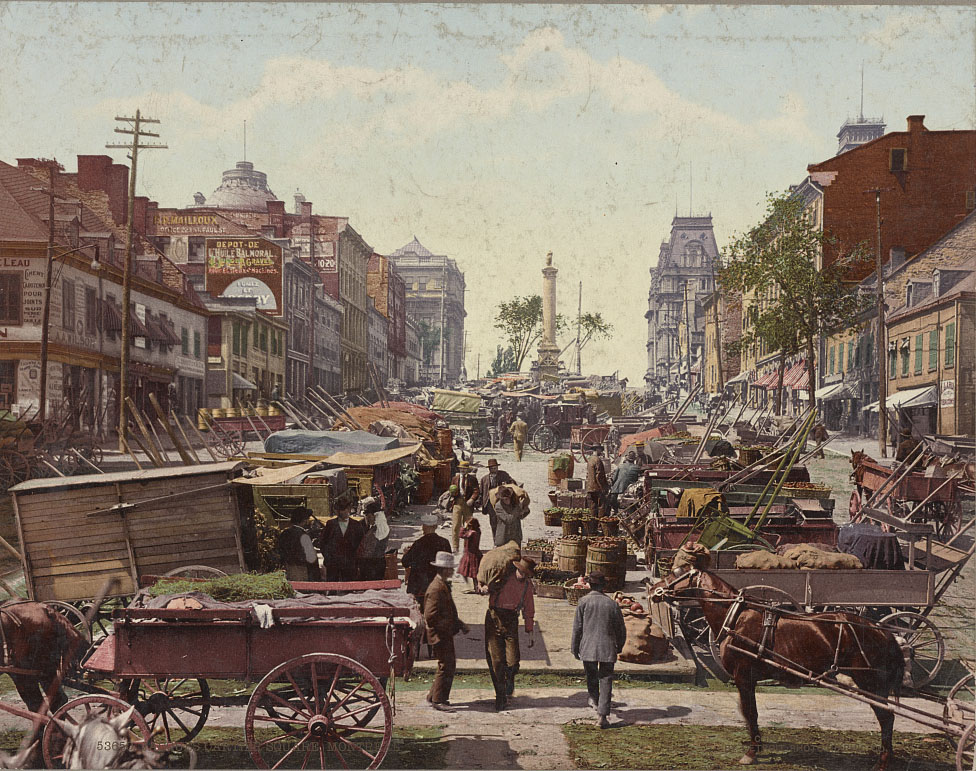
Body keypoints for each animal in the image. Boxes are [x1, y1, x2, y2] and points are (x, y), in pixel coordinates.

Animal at [652, 564, 904, 768]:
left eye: (675, 572)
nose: (653, 589)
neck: (736, 618)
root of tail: (885, 632)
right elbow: (748, 713)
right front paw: (756, 746)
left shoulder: (743, 676)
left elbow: (751, 713)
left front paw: (752, 752)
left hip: (870, 683)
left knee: (886, 718)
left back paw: (883, 761)